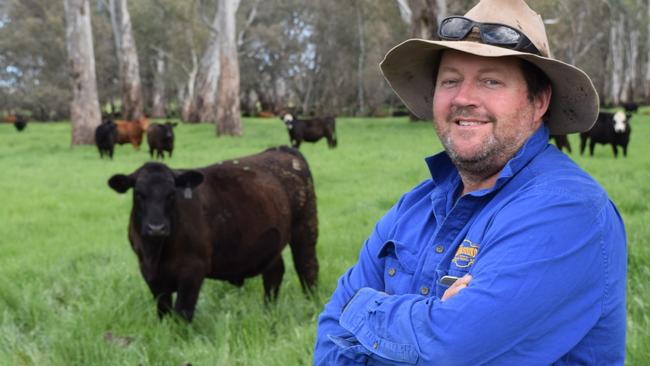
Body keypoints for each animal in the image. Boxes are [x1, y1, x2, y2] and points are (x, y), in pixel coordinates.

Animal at [107, 147, 318, 322]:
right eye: (138, 194)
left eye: (171, 194)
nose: (156, 228)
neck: (156, 253)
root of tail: (282, 150)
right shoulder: (151, 274)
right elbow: (163, 311)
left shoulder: (193, 270)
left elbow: (182, 312)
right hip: (272, 242)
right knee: (274, 273)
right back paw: (268, 311)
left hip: (305, 228)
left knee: (307, 267)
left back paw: (312, 306)